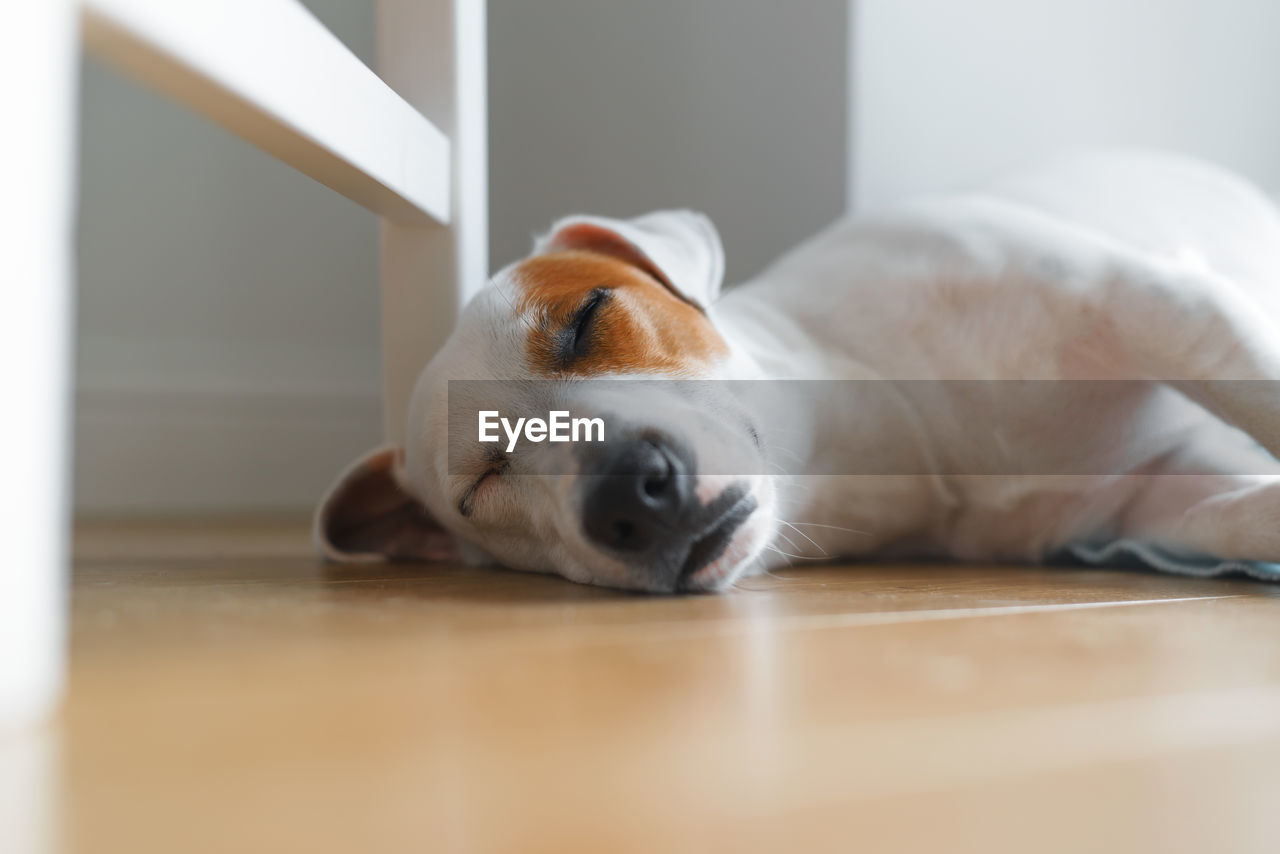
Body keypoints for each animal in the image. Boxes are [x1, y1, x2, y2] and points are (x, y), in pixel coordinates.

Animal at [314, 151, 1280, 594]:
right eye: (482, 484)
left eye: (587, 319)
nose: (631, 492)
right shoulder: (1146, 501)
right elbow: (1233, 517)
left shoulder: (1153, 301)